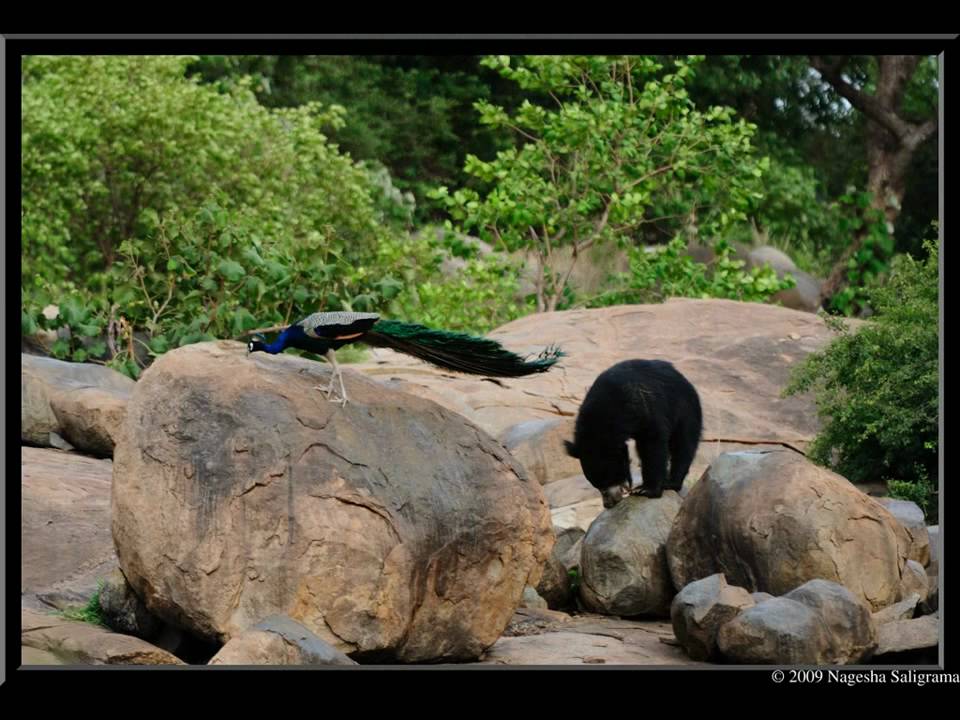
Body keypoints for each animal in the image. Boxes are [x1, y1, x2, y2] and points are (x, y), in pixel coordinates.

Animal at [564, 359, 702, 508]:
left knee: (683, 444)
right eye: (597, 486)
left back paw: (672, 483)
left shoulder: (645, 406)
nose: (608, 504)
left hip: (685, 408)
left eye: (607, 480)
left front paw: (645, 490)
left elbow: (653, 443)